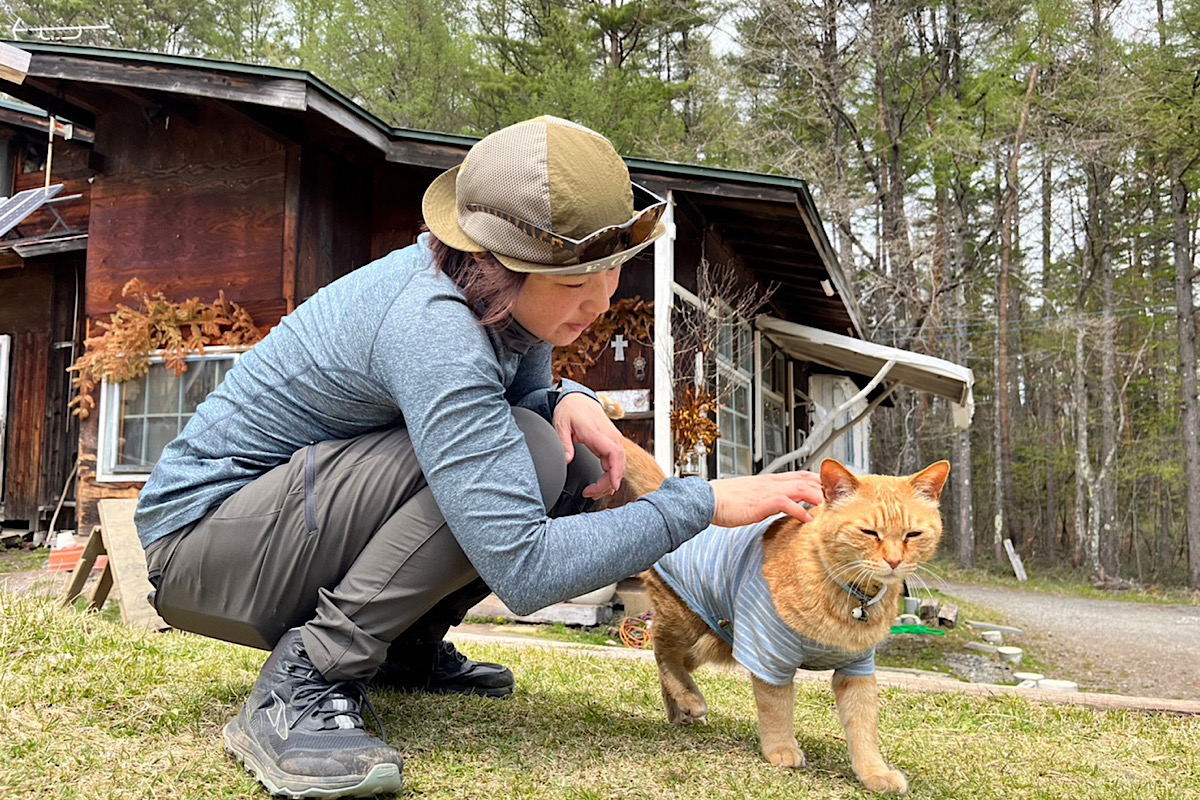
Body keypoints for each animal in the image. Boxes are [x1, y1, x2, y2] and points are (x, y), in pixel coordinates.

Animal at [609, 441, 945, 796]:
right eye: (870, 532)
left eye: (913, 534)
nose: (894, 561)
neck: (853, 598)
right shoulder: (769, 657)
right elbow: (777, 710)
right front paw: (781, 750)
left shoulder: (857, 669)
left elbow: (864, 726)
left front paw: (874, 772)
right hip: (688, 623)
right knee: (662, 650)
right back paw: (690, 699)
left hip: (715, 641)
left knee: (672, 663)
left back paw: (681, 711)